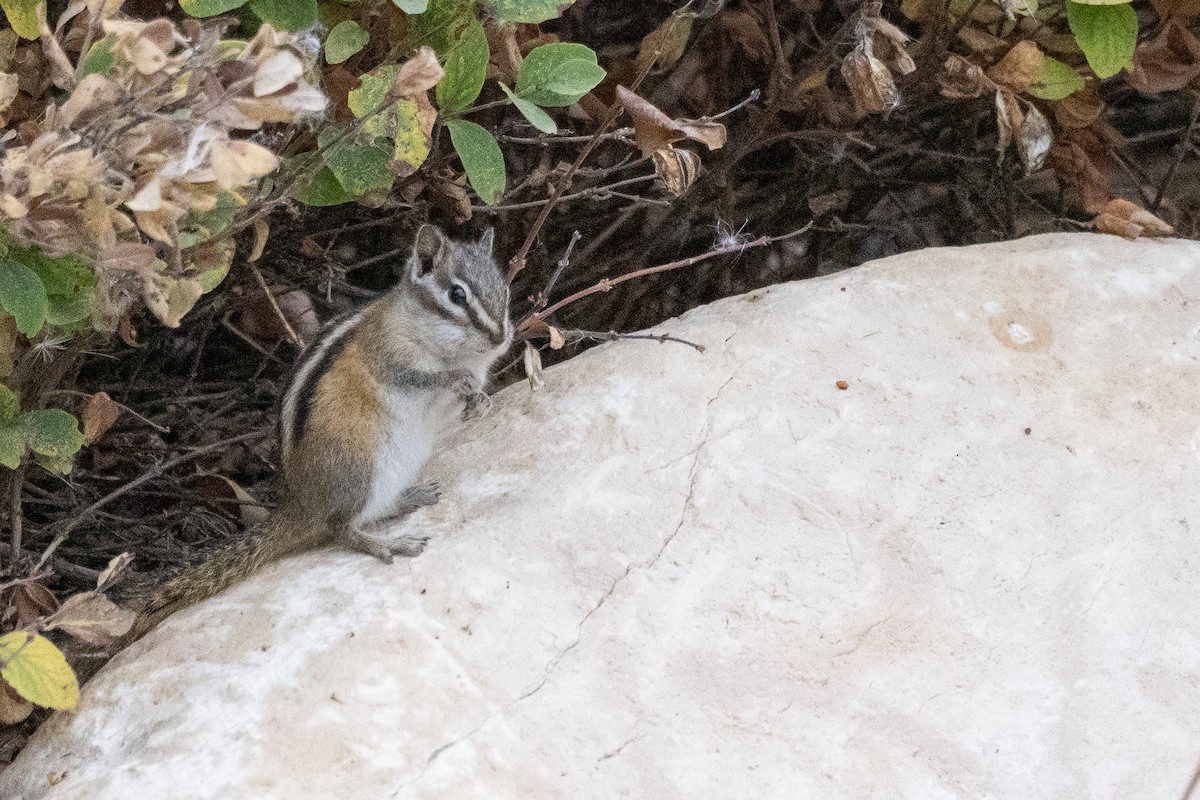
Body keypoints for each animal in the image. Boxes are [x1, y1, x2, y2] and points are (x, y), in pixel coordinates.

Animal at [124, 224, 512, 643]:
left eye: (504, 288)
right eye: (457, 295)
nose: (500, 338)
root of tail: (302, 503)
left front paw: (480, 402)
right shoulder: (390, 356)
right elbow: (421, 377)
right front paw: (453, 379)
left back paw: (409, 499)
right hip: (359, 467)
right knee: (340, 529)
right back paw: (387, 544)